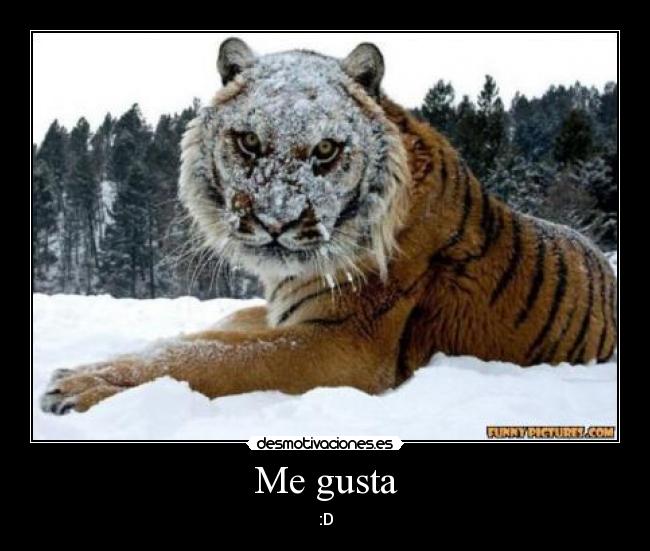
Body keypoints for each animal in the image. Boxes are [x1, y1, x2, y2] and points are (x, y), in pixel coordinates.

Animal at [40, 38, 617, 415]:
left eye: (325, 150)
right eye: (249, 141)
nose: (276, 220)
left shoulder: (341, 342)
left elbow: (209, 358)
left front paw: (76, 385)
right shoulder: (283, 311)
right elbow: (200, 336)